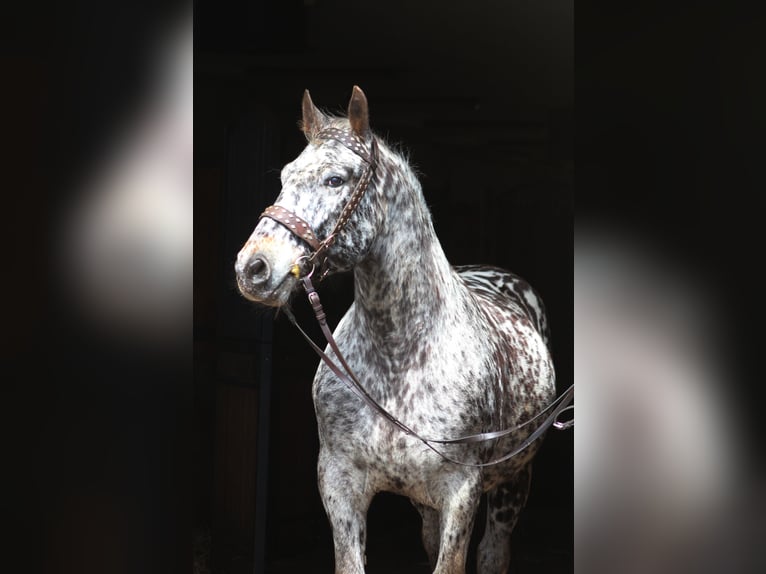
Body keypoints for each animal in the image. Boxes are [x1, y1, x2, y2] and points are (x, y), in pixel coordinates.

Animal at [236, 86, 559, 574]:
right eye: (286, 176)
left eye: (336, 179)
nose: (253, 267)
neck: (398, 356)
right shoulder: (340, 484)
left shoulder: (460, 493)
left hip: (512, 482)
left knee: (493, 553)